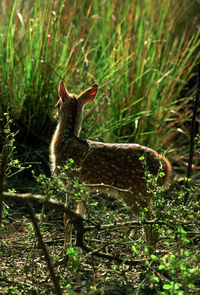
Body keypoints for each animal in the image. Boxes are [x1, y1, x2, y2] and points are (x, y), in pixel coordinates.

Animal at [50, 81, 172, 254]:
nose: (54, 115)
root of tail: (165, 167)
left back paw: (148, 256)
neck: (65, 140)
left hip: (135, 192)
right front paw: (76, 252)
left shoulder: (71, 182)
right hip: (144, 194)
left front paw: (64, 253)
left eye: (58, 104)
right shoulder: (84, 188)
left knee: (152, 224)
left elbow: (67, 217)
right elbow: (80, 217)